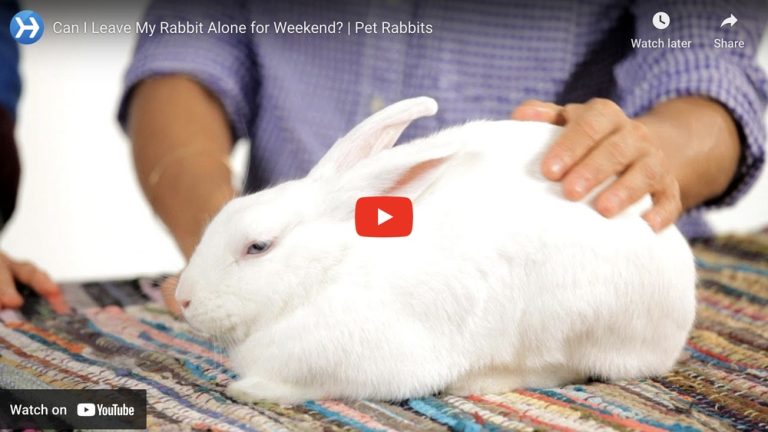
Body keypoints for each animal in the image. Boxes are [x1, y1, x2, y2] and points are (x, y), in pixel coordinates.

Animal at [176, 96, 697, 404]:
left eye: (257, 247)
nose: (182, 299)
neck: (332, 269)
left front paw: (248, 390)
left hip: (570, 319)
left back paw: (481, 381)